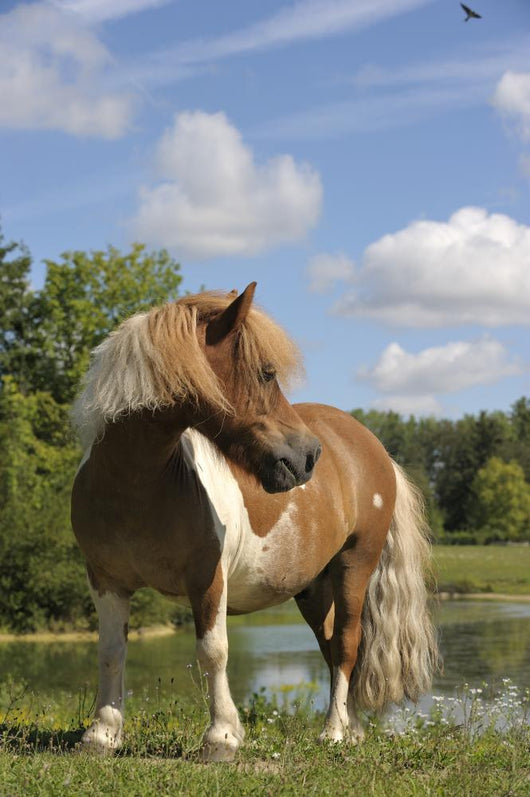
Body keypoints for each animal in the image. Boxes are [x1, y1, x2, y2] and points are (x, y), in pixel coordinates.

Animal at [71, 282, 437, 762]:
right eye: (266, 373)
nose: (308, 457)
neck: (137, 485)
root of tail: (373, 447)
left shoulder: (207, 579)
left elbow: (213, 652)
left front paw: (221, 738)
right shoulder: (106, 579)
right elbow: (111, 651)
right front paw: (102, 734)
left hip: (355, 565)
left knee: (346, 643)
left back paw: (334, 732)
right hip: (313, 588)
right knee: (331, 647)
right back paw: (352, 728)